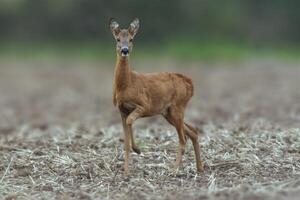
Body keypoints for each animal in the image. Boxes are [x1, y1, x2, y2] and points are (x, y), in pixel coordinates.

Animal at [109, 18, 204, 174]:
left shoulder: (144, 105)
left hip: (177, 106)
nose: (125, 50)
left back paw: (174, 169)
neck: (126, 84)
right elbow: (126, 141)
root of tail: (189, 83)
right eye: (117, 39)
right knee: (193, 132)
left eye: (131, 39)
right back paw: (200, 168)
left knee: (183, 139)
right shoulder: (121, 110)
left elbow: (130, 121)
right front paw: (126, 170)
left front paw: (137, 149)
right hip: (168, 112)